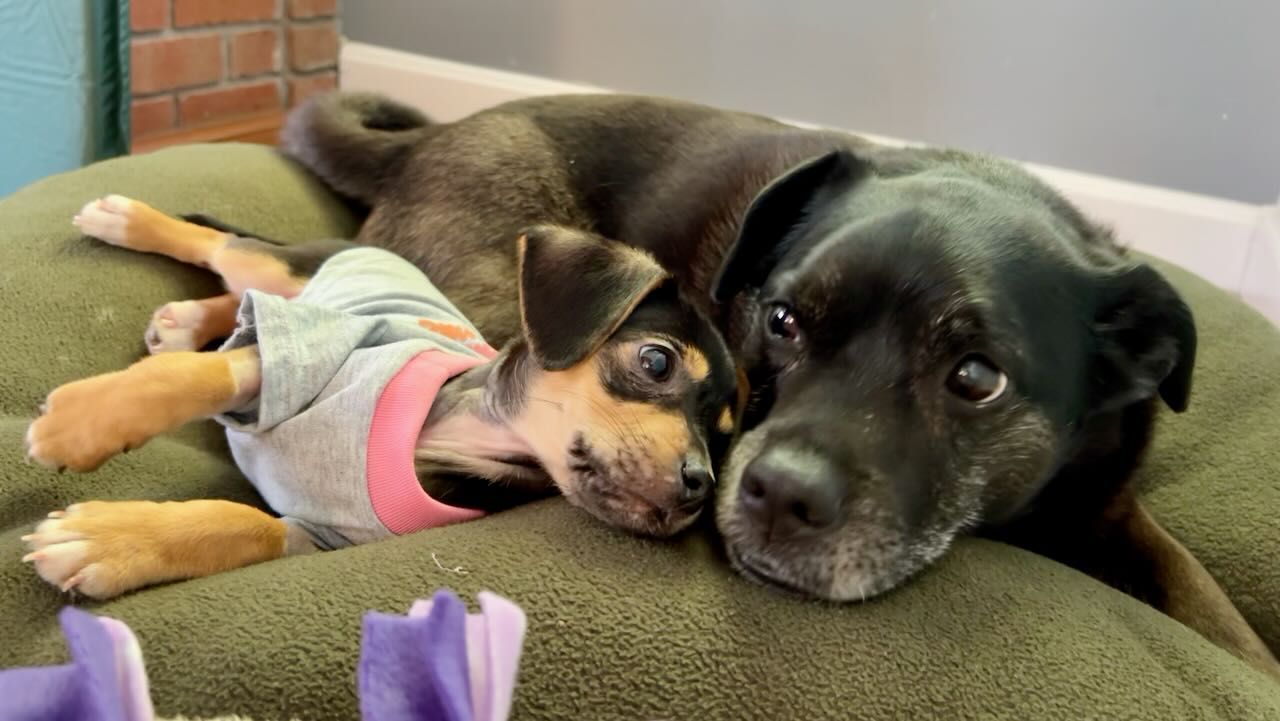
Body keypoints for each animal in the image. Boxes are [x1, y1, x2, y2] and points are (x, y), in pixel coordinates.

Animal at [285, 92, 1280, 681]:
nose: (775, 495)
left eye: (976, 377)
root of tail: (430, 137)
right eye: (782, 319)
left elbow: (1216, 613)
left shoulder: (1113, 508)